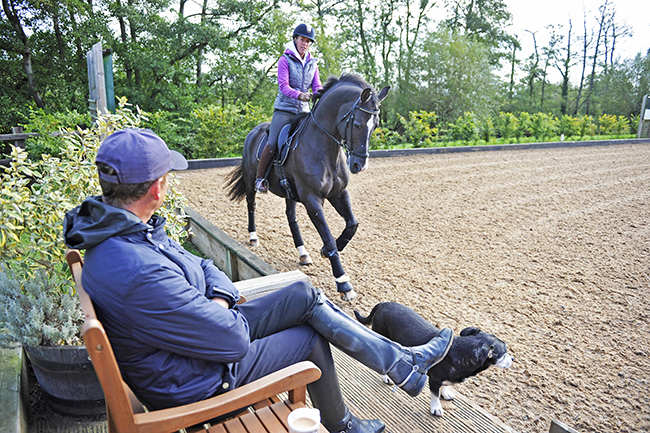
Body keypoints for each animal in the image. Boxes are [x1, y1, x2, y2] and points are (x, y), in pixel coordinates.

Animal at [225, 72, 388, 298]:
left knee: (291, 217)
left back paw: (303, 253)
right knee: (251, 205)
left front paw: (326, 251)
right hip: (251, 181)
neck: (324, 149)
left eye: (375, 125)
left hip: (288, 193)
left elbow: (352, 224)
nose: (359, 165)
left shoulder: (339, 193)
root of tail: (253, 131)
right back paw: (253, 237)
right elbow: (328, 237)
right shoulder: (312, 200)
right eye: (357, 124)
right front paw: (343, 283)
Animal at [354, 300, 512, 416]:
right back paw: (387, 377)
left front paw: (446, 393)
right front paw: (436, 408)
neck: (463, 350)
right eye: (504, 352)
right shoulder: (434, 380)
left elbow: (445, 385)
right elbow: (435, 395)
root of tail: (383, 303)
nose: (513, 359)